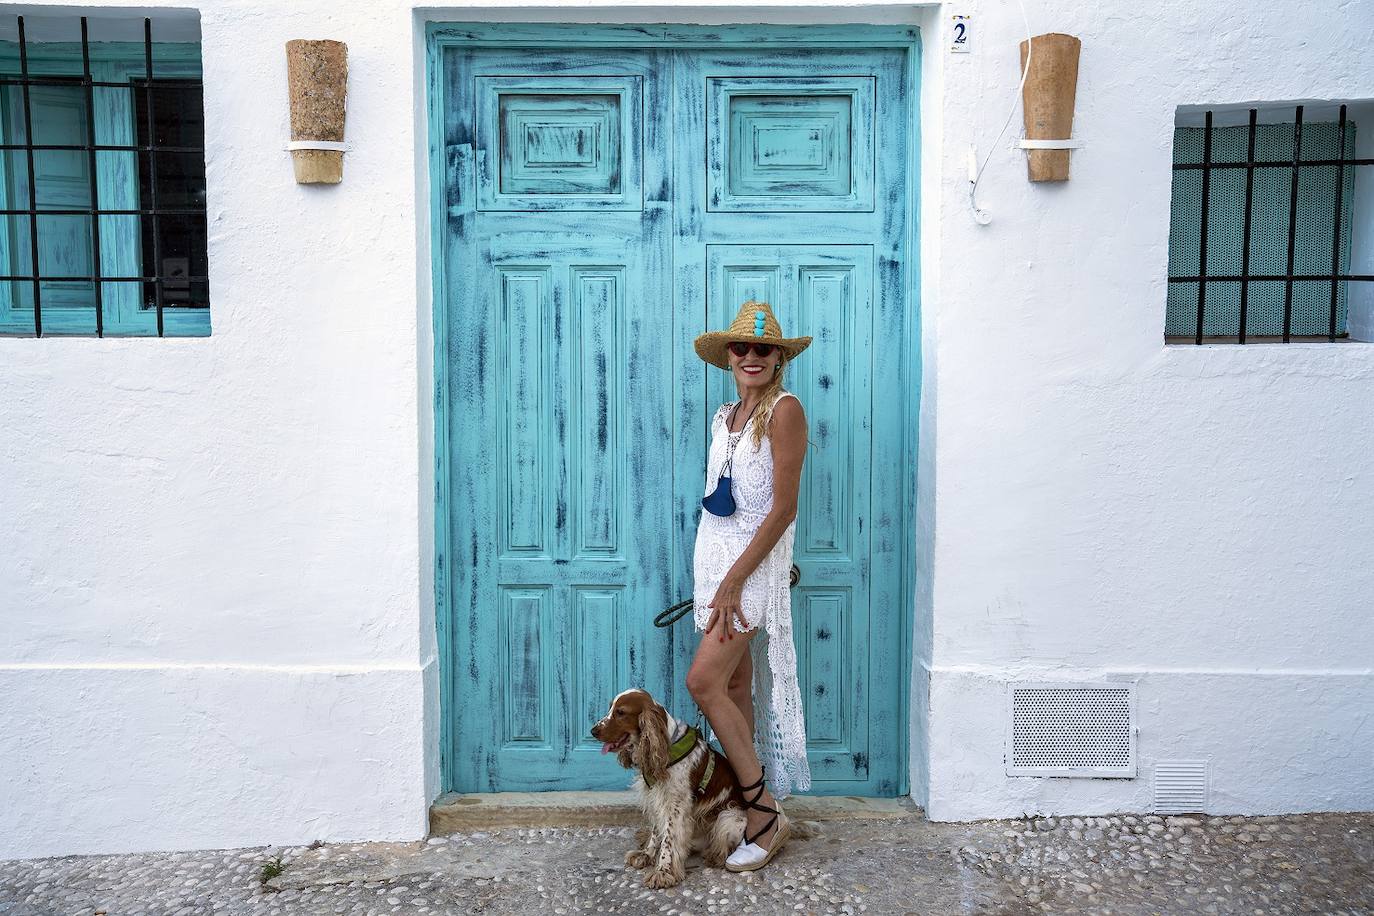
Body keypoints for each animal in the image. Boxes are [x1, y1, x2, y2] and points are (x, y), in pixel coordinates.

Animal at [588, 686, 741, 889]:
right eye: (610, 708)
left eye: (620, 712)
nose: (593, 731)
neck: (666, 746)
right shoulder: (656, 797)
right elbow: (656, 832)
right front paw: (646, 855)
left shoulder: (675, 804)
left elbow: (668, 838)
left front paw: (663, 871)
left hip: (729, 815)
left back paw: (714, 855)